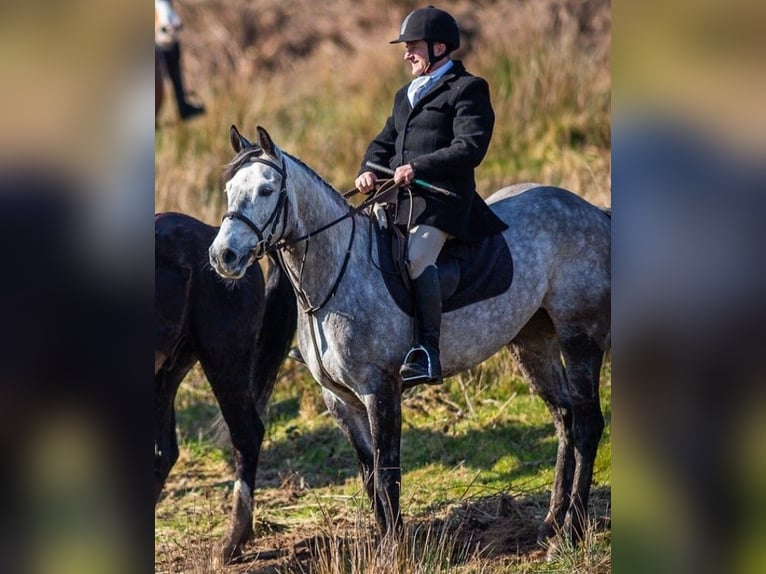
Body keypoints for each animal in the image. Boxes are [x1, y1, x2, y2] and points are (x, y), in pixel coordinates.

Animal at [208, 125, 612, 552]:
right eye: (229, 189)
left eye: (267, 190)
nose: (223, 256)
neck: (334, 275)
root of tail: (592, 211)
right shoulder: (340, 401)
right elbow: (370, 474)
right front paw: (390, 540)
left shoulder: (380, 389)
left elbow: (388, 471)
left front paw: (394, 550)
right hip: (532, 343)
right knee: (565, 420)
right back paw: (550, 522)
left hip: (579, 338)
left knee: (587, 425)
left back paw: (572, 529)